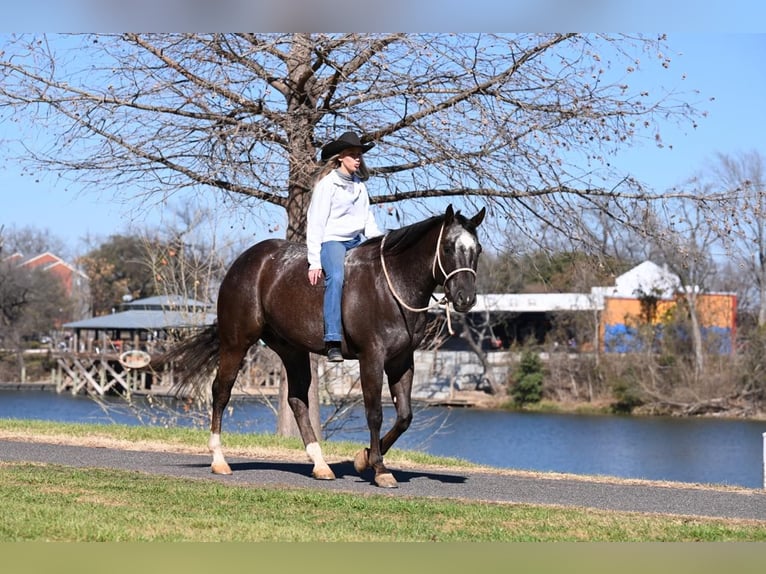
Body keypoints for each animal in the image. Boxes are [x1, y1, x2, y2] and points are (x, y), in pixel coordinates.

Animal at [168, 205, 486, 488]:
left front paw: (363, 458)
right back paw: (219, 460)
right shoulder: (372, 358)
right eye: (448, 247)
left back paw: (320, 465)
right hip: (236, 343)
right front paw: (379, 468)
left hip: (292, 350)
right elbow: (375, 413)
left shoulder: (402, 360)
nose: (466, 298)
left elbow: (405, 416)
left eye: (478, 250)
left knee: (297, 400)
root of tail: (245, 261)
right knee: (221, 392)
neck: (392, 286)